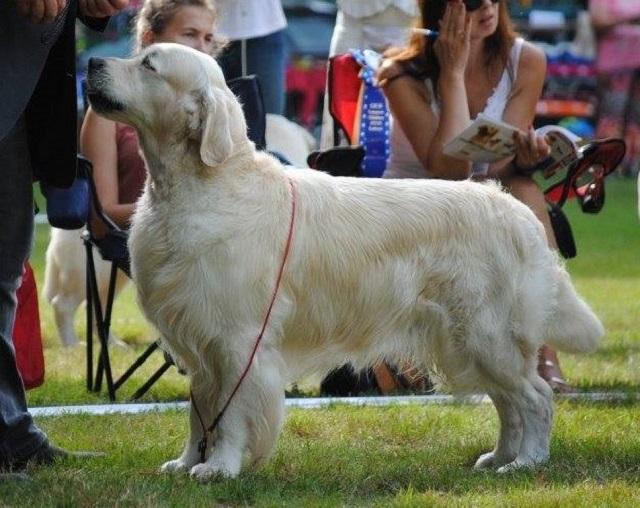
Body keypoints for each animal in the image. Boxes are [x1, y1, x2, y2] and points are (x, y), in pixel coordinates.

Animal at [86, 43, 604, 480]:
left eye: (149, 64)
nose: (90, 64)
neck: (198, 186)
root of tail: (516, 211)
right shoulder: (198, 336)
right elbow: (199, 415)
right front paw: (186, 461)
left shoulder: (237, 340)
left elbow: (229, 414)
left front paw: (220, 468)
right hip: (467, 342)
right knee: (508, 403)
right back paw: (498, 457)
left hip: (486, 333)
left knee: (535, 398)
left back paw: (527, 462)